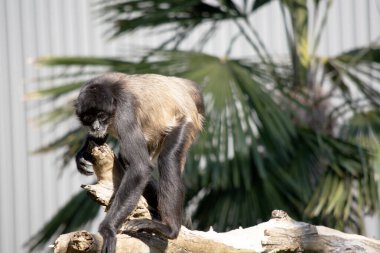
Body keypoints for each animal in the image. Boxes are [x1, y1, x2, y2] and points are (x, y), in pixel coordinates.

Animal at [75, 72, 205, 252]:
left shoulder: (125, 110)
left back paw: (170, 229)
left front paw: (108, 230)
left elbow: (140, 167)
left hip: (185, 121)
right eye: (89, 118)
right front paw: (83, 152)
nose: (95, 126)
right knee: (126, 158)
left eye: (101, 116)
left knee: (168, 159)